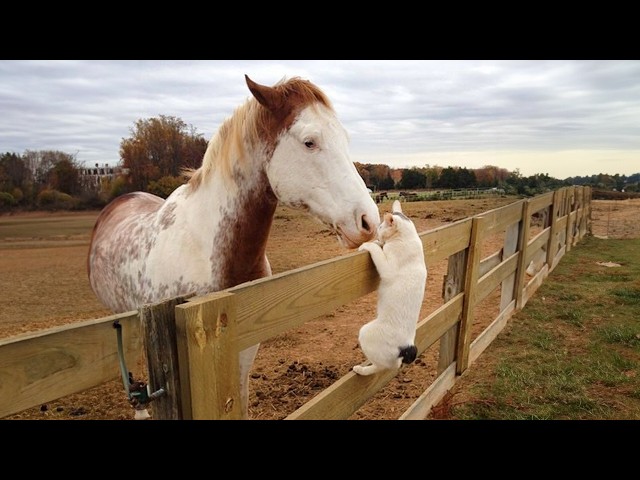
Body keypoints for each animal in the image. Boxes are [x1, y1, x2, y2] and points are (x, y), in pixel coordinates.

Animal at [352, 199, 428, 376]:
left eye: (381, 227)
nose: (377, 234)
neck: (408, 238)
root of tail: (407, 346)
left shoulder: (387, 269)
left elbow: (376, 250)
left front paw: (368, 244)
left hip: (365, 332)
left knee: (382, 367)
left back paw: (361, 370)